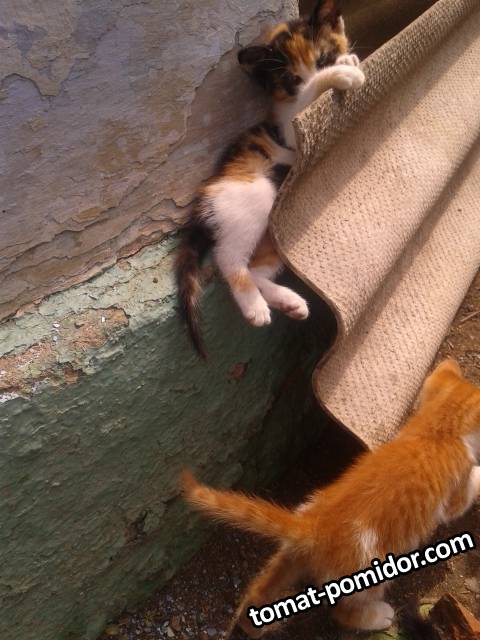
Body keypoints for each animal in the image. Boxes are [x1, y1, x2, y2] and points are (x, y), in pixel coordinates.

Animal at [175, 0, 365, 357]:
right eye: (291, 79)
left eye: (322, 58)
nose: (328, 67)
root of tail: (203, 200)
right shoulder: (290, 130)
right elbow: (305, 101)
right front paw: (341, 74)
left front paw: (347, 61)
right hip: (254, 197)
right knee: (228, 260)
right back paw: (254, 306)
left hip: (277, 232)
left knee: (254, 267)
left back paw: (288, 301)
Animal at [182, 358, 480, 636]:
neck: (439, 427)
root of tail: (313, 526)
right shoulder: (454, 491)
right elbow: (464, 496)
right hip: (368, 574)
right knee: (343, 612)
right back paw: (377, 617)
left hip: (291, 555)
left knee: (259, 590)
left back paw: (252, 624)